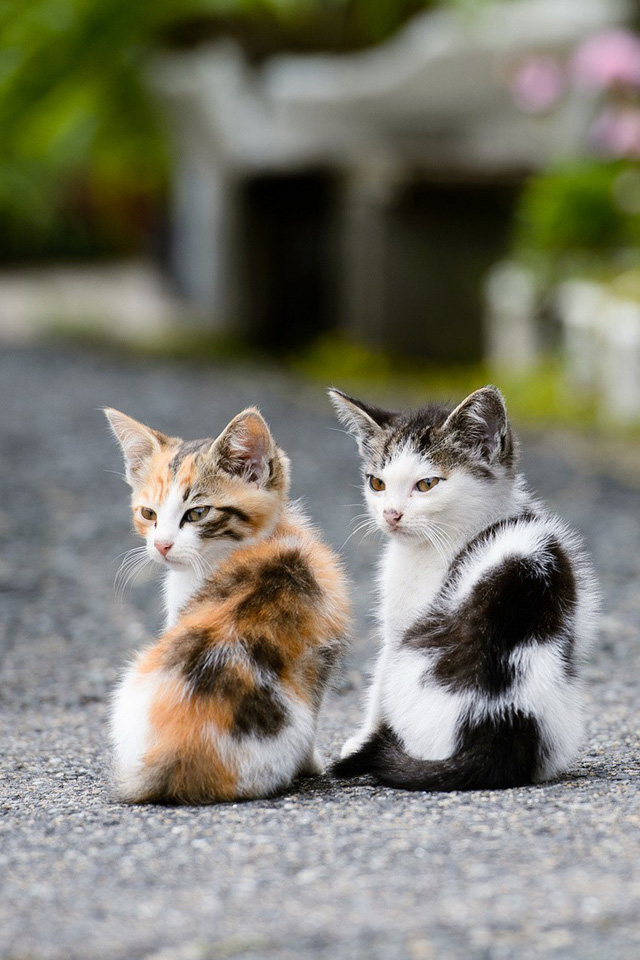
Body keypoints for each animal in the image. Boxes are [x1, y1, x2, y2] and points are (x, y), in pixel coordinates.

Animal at [104, 404, 348, 804]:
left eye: (197, 513)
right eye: (148, 514)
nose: (162, 545)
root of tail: (176, 756)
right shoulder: (322, 653)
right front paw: (313, 763)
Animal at [330, 386, 600, 792]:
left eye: (427, 484)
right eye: (377, 483)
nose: (390, 514)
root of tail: (499, 719)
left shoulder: (399, 629)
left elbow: (377, 687)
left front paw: (359, 740)